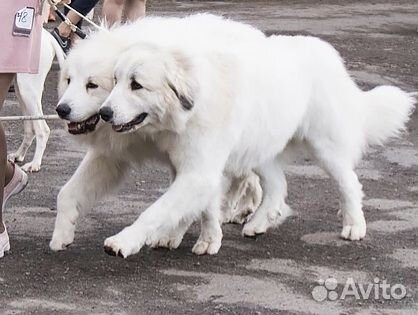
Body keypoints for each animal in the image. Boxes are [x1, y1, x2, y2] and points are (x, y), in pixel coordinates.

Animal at [49, 15, 264, 256]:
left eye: (92, 85)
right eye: (69, 80)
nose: (61, 109)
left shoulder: (199, 158)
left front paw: (208, 238)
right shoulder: (110, 156)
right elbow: (67, 193)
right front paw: (62, 234)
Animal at [100, 32, 414, 260]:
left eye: (136, 85)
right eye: (115, 80)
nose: (104, 113)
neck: (193, 102)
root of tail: (327, 52)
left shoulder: (199, 171)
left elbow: (157, 210)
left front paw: (124, 241)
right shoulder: (193, 167)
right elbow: (201, 208)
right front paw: (202, 239)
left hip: (324, 146)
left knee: (349, 183)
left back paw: (354, 225)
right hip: (261, 150)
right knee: (277, 186)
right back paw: (259, 223)